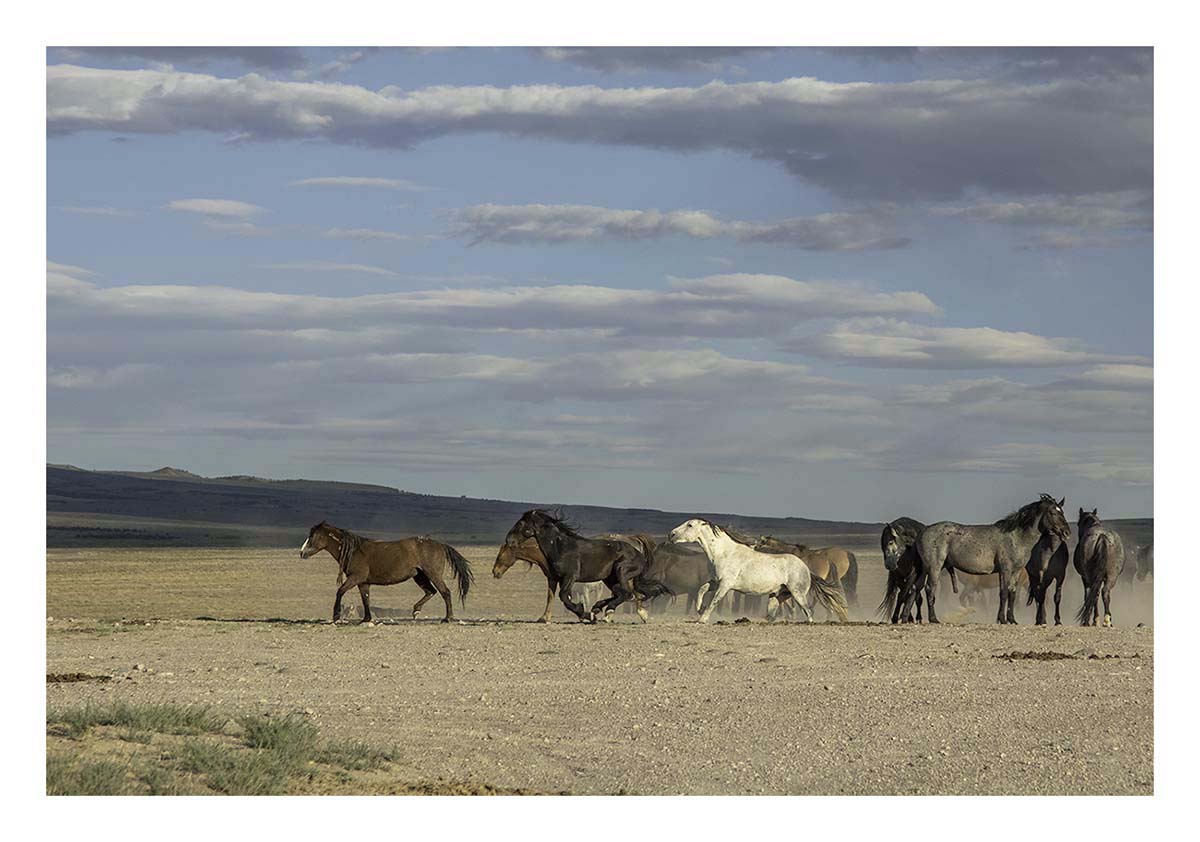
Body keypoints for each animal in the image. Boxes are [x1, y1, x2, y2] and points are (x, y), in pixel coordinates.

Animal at [300, 521, 473, 623]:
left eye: (313, 536)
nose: (302, 553)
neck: (354, 551)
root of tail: (440, 545)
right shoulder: (363, 582)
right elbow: (366, 599)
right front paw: (366, 619)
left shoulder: (356, 577)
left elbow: (340, 591)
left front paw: (336, 615)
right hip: (420, 576)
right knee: (431, 591)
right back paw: (416, 611)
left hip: (433, 574)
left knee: (445, 592)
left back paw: (448, 618)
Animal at [500, 509, 669, 623]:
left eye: (521, 523)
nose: (508, 540)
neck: (560, 547)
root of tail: (639, 553)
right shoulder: (560, 579)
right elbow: (564, 598)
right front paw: (588, 614)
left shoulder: (570, 577)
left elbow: (564, 597)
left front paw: (586, 614)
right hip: (610, 578)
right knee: (620, 592)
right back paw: (600, 608)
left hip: (621, 571)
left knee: (626, 593)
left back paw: (607, 612)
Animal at [668, 519, 848, 623]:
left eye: (689, 525)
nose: (671, 534)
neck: (724, 553)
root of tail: (806, 568)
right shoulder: (716, 582)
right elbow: (702, 589)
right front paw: (699, 609)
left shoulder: (725, 585)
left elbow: (714, 601)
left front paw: (703, 619)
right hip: (778, 595)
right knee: (774, 614)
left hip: (798, 594)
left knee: (808, 611)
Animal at [908, 494, 1071, 624]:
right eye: (1052, 512)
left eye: (1062, 511)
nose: (1067, 532)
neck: (1016, 537)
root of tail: (924, 531)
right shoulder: (1005, 570)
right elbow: (1003, 593)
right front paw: (1002, 619)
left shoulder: (1016, 572)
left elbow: (1012, 594)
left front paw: (1012, 620)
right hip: (934, 568)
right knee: (930, 589)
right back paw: (933, 619)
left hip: (925, 569)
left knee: (915, 588)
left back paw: (908, 618)